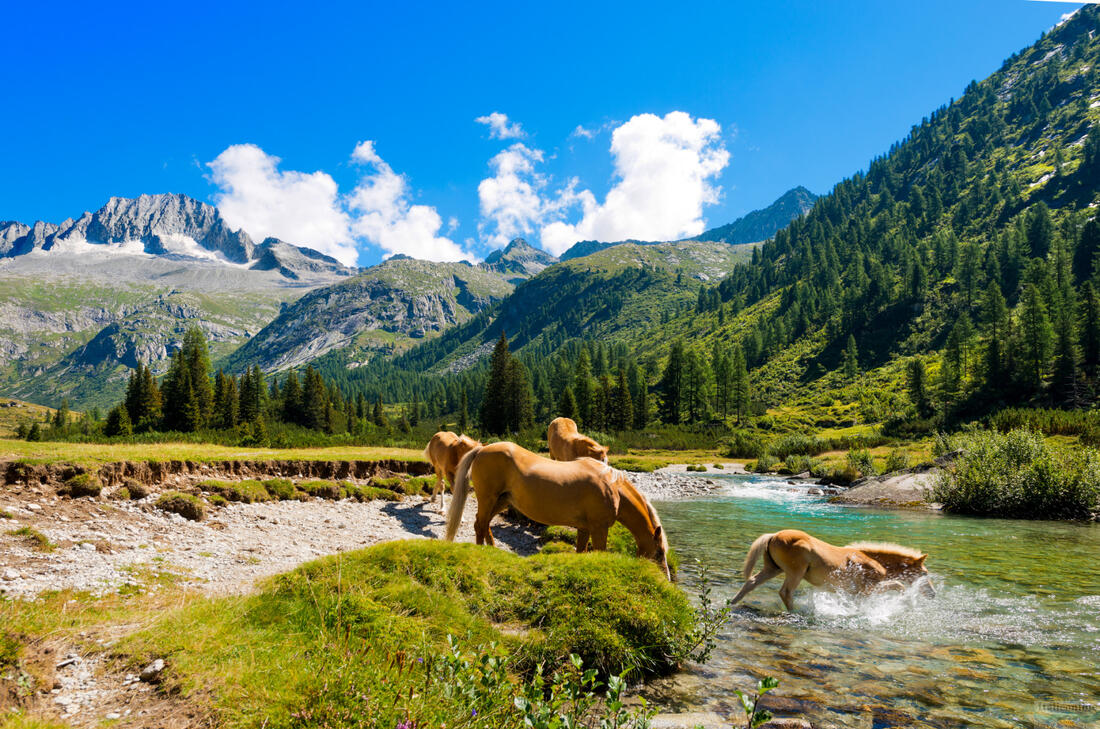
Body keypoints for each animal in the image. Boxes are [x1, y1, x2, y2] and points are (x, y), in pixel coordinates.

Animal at [440, 442, 668, 580]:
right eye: (659, 552)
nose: (665, 578)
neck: (612, 486)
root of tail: (482, 449)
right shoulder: (599, 529)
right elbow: (599, 552)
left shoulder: (585, 529)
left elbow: (581, 551)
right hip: (488, 498)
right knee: (480, 525)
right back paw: (482, 552)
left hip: (501, 501)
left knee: (484, 523)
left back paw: (493, 549)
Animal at [730, 529, 937, 611]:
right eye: (924, 573)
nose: (932, 593)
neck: (873, 561)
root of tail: (773, 536)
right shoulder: (868, 588)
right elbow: (898, 586)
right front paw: (906, 603)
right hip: (795, 572)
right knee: (785, 592)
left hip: (773, 569)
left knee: (751, 582)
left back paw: (731, 604)